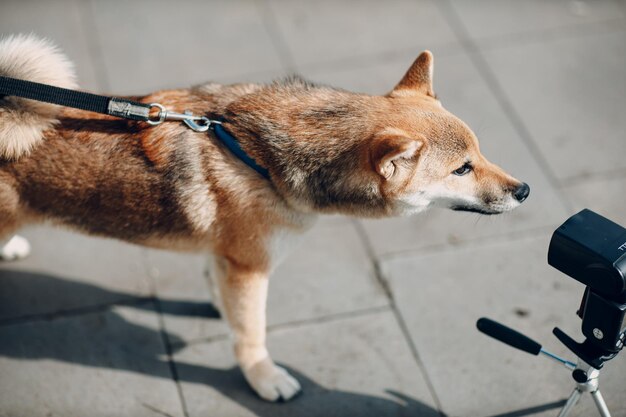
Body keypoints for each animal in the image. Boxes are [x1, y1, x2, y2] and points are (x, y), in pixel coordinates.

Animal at [0, 35, 528, 400]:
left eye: (480, 152)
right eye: (462, 169)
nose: (523, 190)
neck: (259, 156)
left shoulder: (228, 256)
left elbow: (225, 296)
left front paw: (220, 308)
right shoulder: (251, 267)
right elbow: (253, 332)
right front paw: (263, 377)